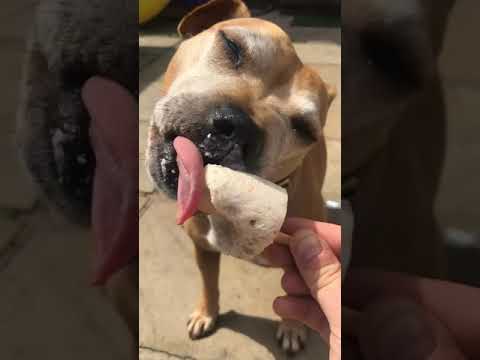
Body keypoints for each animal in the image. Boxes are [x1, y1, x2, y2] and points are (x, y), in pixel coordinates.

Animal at [144, 0, 336, 354]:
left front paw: (292, 327)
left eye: (304, 130)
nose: (237, 127)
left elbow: (294, 293)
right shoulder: (202, 247)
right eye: (231, 45)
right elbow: (209, 282)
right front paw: (206, 313)